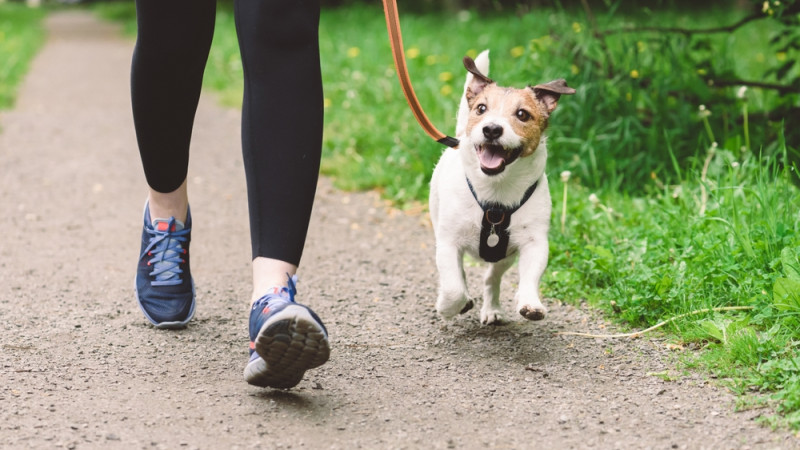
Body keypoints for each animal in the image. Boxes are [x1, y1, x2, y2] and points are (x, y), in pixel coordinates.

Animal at [432, 51, 576, 324]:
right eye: (481, 109)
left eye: (522, 114)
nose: (491, 129)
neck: (496, 193)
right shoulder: (448, 242)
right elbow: (453, 286)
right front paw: (448, 306)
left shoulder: (534, 242)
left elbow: (530, 276)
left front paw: (530, 302)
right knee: (460, 276)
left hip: (504, 257)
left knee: (492, 278)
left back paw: (492, 309)